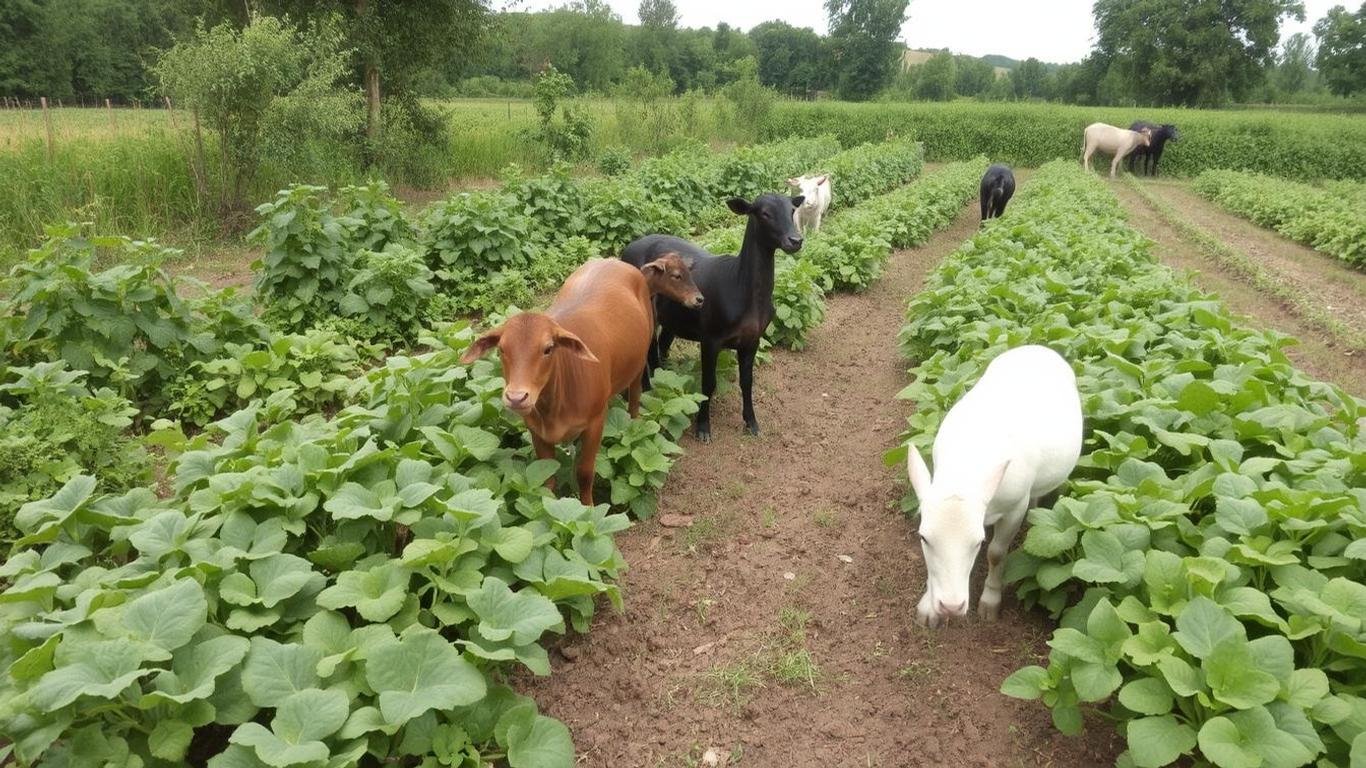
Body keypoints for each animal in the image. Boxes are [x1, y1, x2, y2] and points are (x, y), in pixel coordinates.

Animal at [625, 192, 803, 442]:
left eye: (792, 211)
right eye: (765, 213)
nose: (796, 240)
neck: (739, 287)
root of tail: (627, 249)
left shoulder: (752, 339)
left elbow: (747, 382)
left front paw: (752, 423)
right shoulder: (711, 337)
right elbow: (708, 384)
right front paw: (703, 428)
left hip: (672, 317)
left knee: (661, 345)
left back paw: (662, 378)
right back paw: (648, 391)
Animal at [901, 344, 1081, 625]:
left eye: (977, 542)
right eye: (924, 538)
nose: (951, 606)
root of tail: (1038, 347)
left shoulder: (1015, 505)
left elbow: (996, 553)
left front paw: (990, 601)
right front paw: (928, 608)